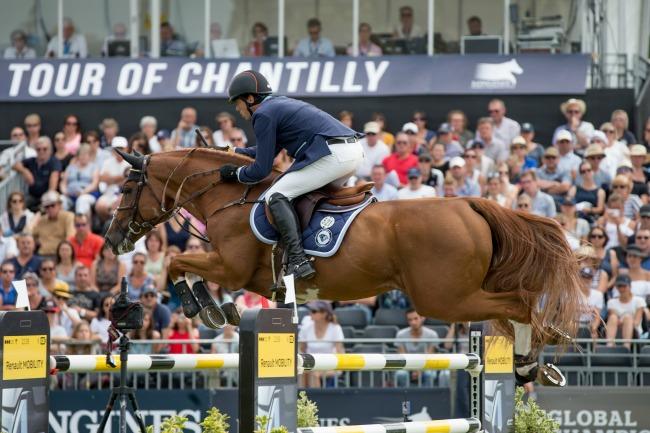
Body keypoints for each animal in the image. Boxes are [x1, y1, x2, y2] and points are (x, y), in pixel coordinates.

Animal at [104, 148, 583, 386]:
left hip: (445, 298)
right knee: (514, 307)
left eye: (127, 187)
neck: (228, 198)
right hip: (460, 294)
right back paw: (531, 363)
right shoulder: (244, 275)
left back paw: (530, 360)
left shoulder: (232, 267)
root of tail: (470, 204)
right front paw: (219, 309)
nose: (112, 239)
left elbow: (176, 262)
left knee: (519, 304)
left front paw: (202, 307)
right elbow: (189, 267)